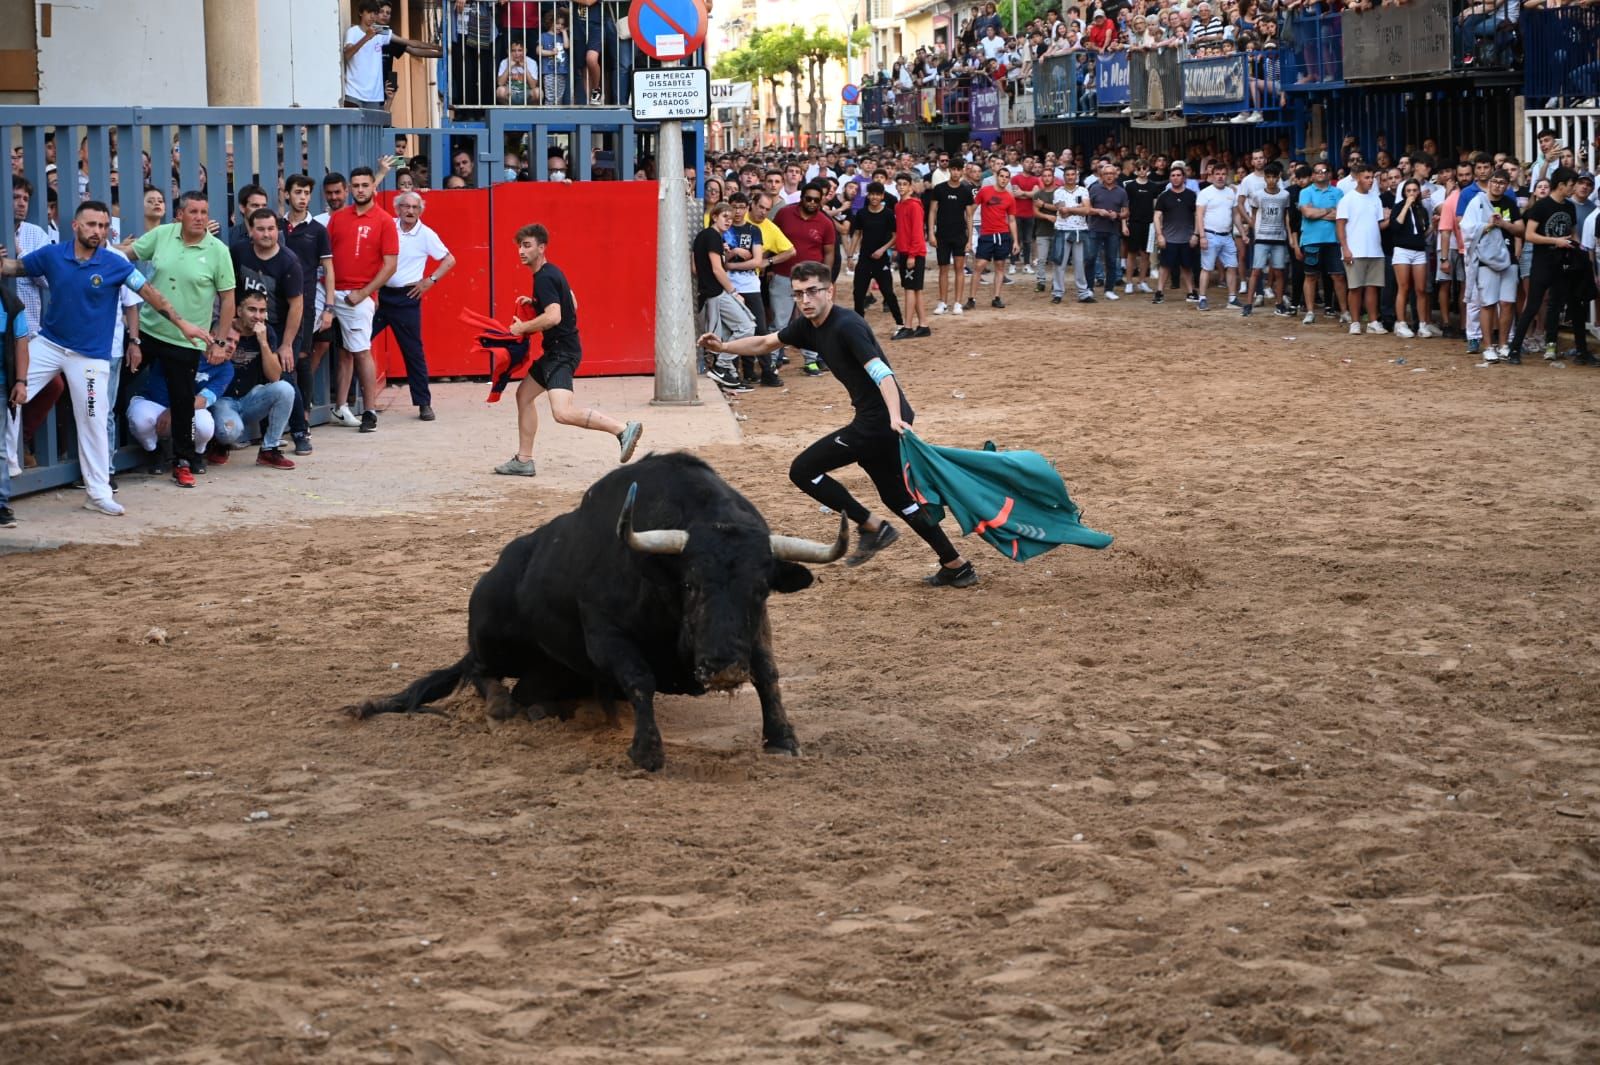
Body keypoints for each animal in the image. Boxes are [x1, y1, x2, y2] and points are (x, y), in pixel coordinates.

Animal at [350, 450, 851, 767]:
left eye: (761, 590)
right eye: (690, 584)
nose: (724, 668)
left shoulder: (756, 629)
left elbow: (767, 673)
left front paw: (781, 739)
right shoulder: (605, 634)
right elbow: (639, 677)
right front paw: (646, 751)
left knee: (526, 690)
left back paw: (548, 709)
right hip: (493, 637)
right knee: (479, 670)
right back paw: (501, 706)